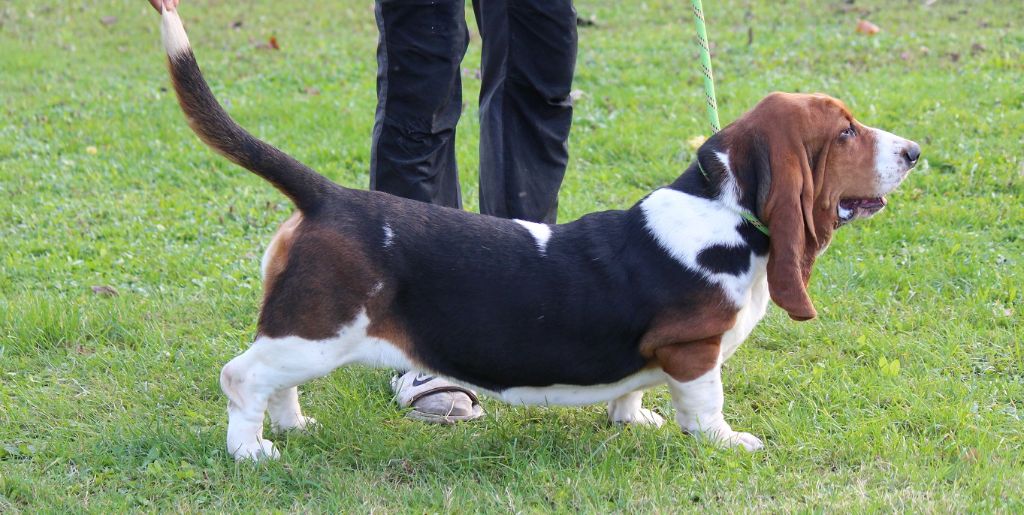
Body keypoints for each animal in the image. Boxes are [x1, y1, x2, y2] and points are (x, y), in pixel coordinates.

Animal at [157, 7, 921, 458]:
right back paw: (252, 450)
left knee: (275, 382)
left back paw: (291, 426)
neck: (726, 207)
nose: (914, 151)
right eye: (845, 132)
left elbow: (632, 388)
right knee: (240, 376)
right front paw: (729, 442)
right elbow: (706, 404)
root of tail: (329, 197)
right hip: (318, 331)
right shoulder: (694, 349)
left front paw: (633, 418)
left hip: (307, 334)